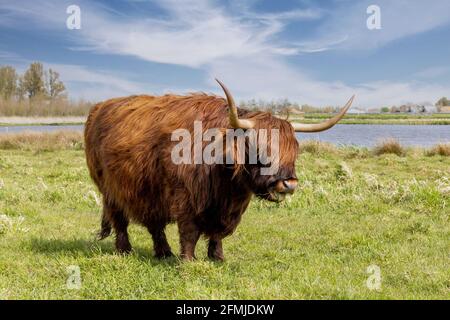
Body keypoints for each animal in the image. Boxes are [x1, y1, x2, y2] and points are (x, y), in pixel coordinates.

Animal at [83, 79, 352, 260]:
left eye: (294, 149)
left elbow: (219, 233)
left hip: (148, 191)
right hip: (110, 189)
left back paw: (164, 252)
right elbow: (189, 232)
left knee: (154, 224)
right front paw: (188, 261)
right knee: (120, 220)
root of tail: (99, 107)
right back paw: (125, 250)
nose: (289, 184)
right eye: (259, 147)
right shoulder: (185, 198)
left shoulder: (229, 208)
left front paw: (217, 257)